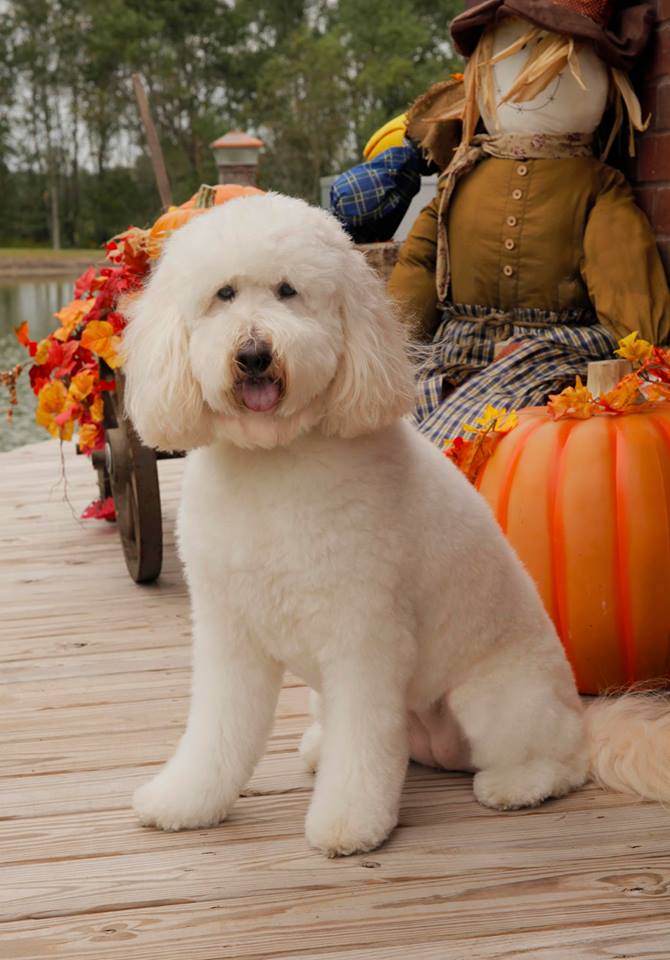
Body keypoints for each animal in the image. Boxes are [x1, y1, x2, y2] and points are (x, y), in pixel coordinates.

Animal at [123, 189, 670, 856]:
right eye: (223, 294)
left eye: (287, 291)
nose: (253, 355)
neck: (274, 459)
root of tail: (582, 716)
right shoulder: (230, 633)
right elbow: (216, 733)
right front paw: (185, 801)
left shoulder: (363, 634)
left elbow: (361, 747)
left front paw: (348, 823)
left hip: (494, 699)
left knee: (560, 760)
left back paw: (517, 784)